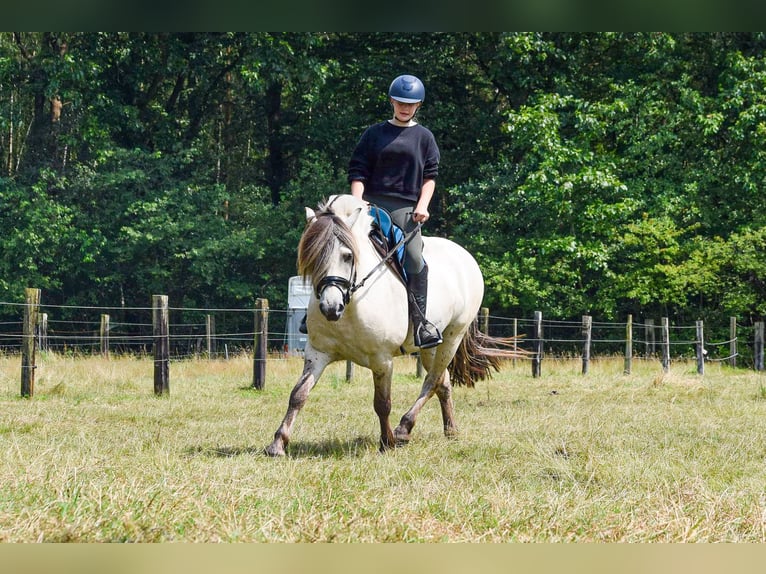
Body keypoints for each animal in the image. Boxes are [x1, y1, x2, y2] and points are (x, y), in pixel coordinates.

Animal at [268, 195, 524, 460]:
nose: (330, 308)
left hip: (453, 337)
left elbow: (382, 403)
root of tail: (464, 256)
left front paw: (387, 442)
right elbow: (298, 395)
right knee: (442, 382)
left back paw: (403, 429)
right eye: (313, 257)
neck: (352, 303)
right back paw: (450, 429)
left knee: (432, 381)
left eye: (348, 256)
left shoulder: (382, 360)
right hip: (430, 347)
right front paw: (278, 443)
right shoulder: (317, 353)